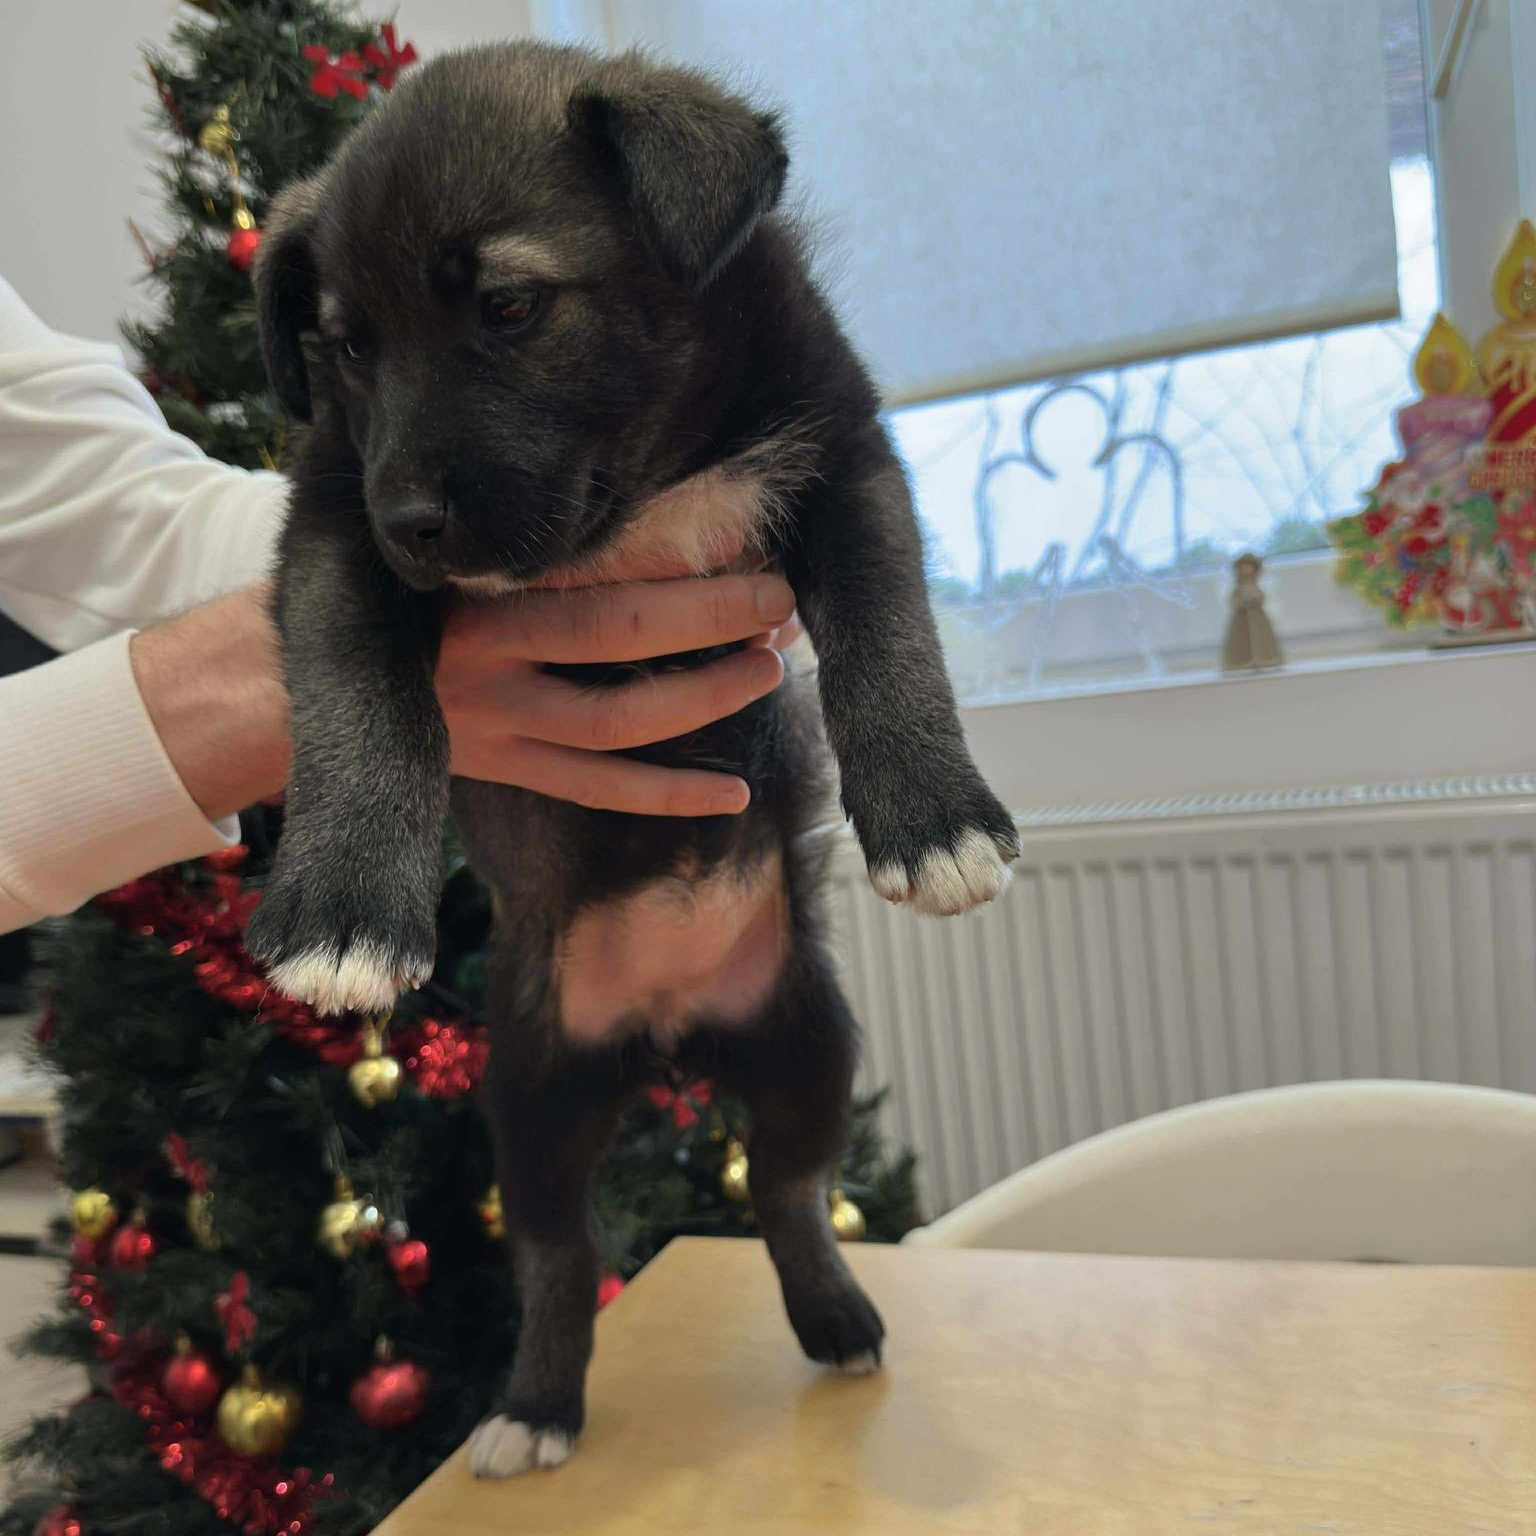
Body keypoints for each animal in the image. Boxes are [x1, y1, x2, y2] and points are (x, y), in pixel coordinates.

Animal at [246, 40, 1019, 1478]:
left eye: (508, 305)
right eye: (345, 348)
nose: (412, 523)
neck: (649, 476)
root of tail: (667, 1029)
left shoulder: (844, 454)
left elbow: (889, 634)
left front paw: (934, 815)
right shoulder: (329, 519)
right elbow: (355, 689)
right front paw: (343, 905)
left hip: (808, 1050)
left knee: (785, 1188)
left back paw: (834, 1316)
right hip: (536, 1104)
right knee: (562, 1257)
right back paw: (534, 1407)